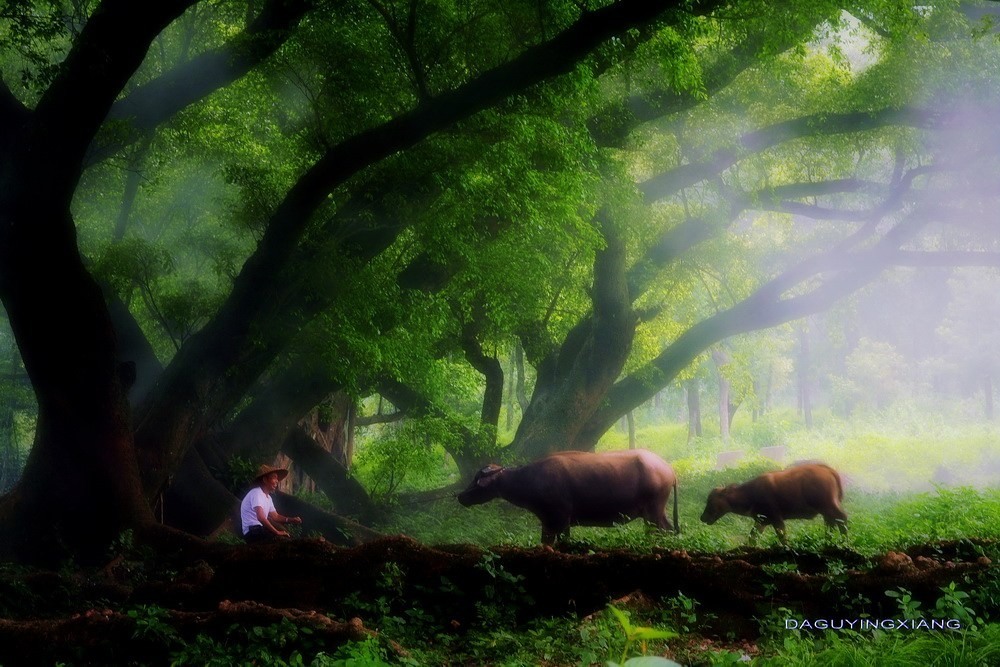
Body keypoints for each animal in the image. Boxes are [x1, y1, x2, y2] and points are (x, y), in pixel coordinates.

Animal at [458, 448, 680, 548]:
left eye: (477, 479)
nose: (461, 496)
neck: (532, 479)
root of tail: (669, 470)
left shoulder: (557, 519)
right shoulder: (556, 522)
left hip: (653, 512)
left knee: (661, 532)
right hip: (658, 512)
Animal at [700, 462, 848, 544]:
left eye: (711, 500)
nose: (702, 517)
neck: (751, 493)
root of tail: (828, 470)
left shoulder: (776, 519)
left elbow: (783, 539)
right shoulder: (761, 521)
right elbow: (752, 538)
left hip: (828, 505)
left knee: (842, 518)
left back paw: (844, 542)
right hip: (826, 509)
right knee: (831, 523)